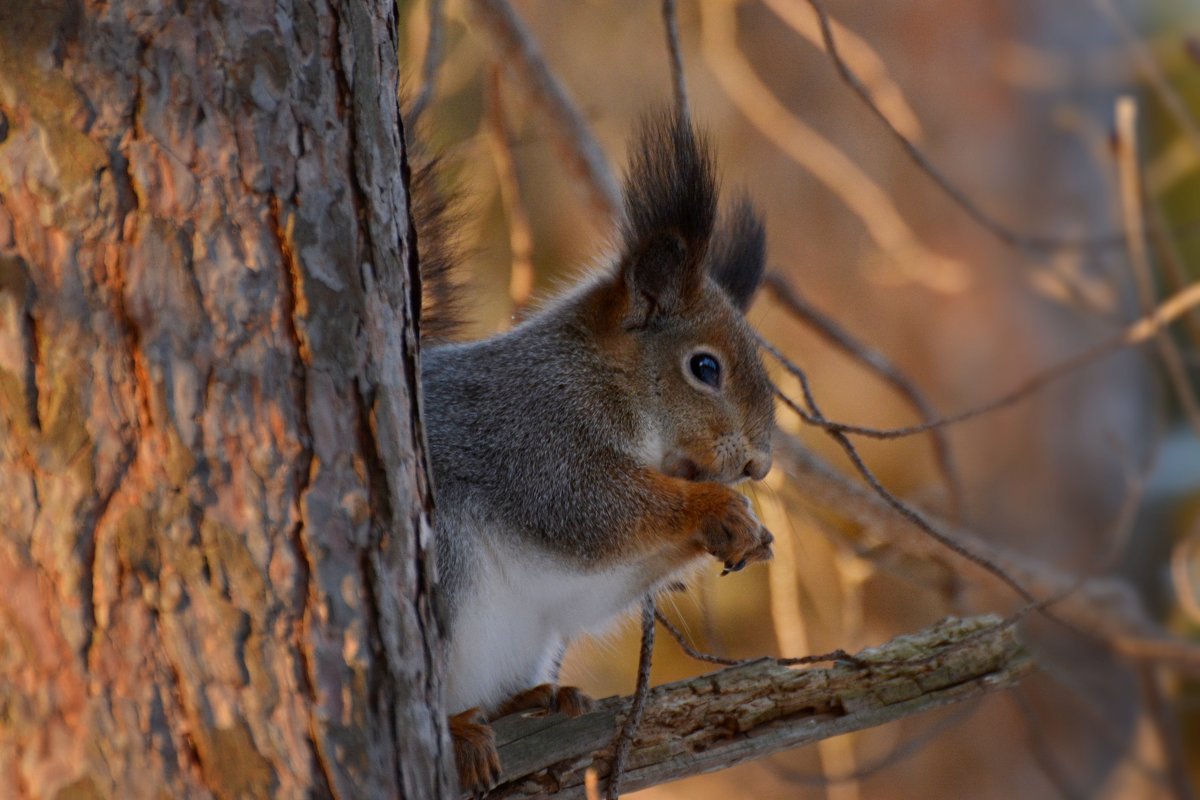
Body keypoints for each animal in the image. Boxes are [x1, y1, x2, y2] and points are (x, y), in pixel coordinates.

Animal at [420, 112, 777, 796]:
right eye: (705, 368)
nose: (759, 465)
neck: (600, 378)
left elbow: (588, 590)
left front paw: (740, 531)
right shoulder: (535, 436)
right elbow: (590, 511)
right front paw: (715, 507)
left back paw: (532, 699)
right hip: (445, 561)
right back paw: (458, 729)